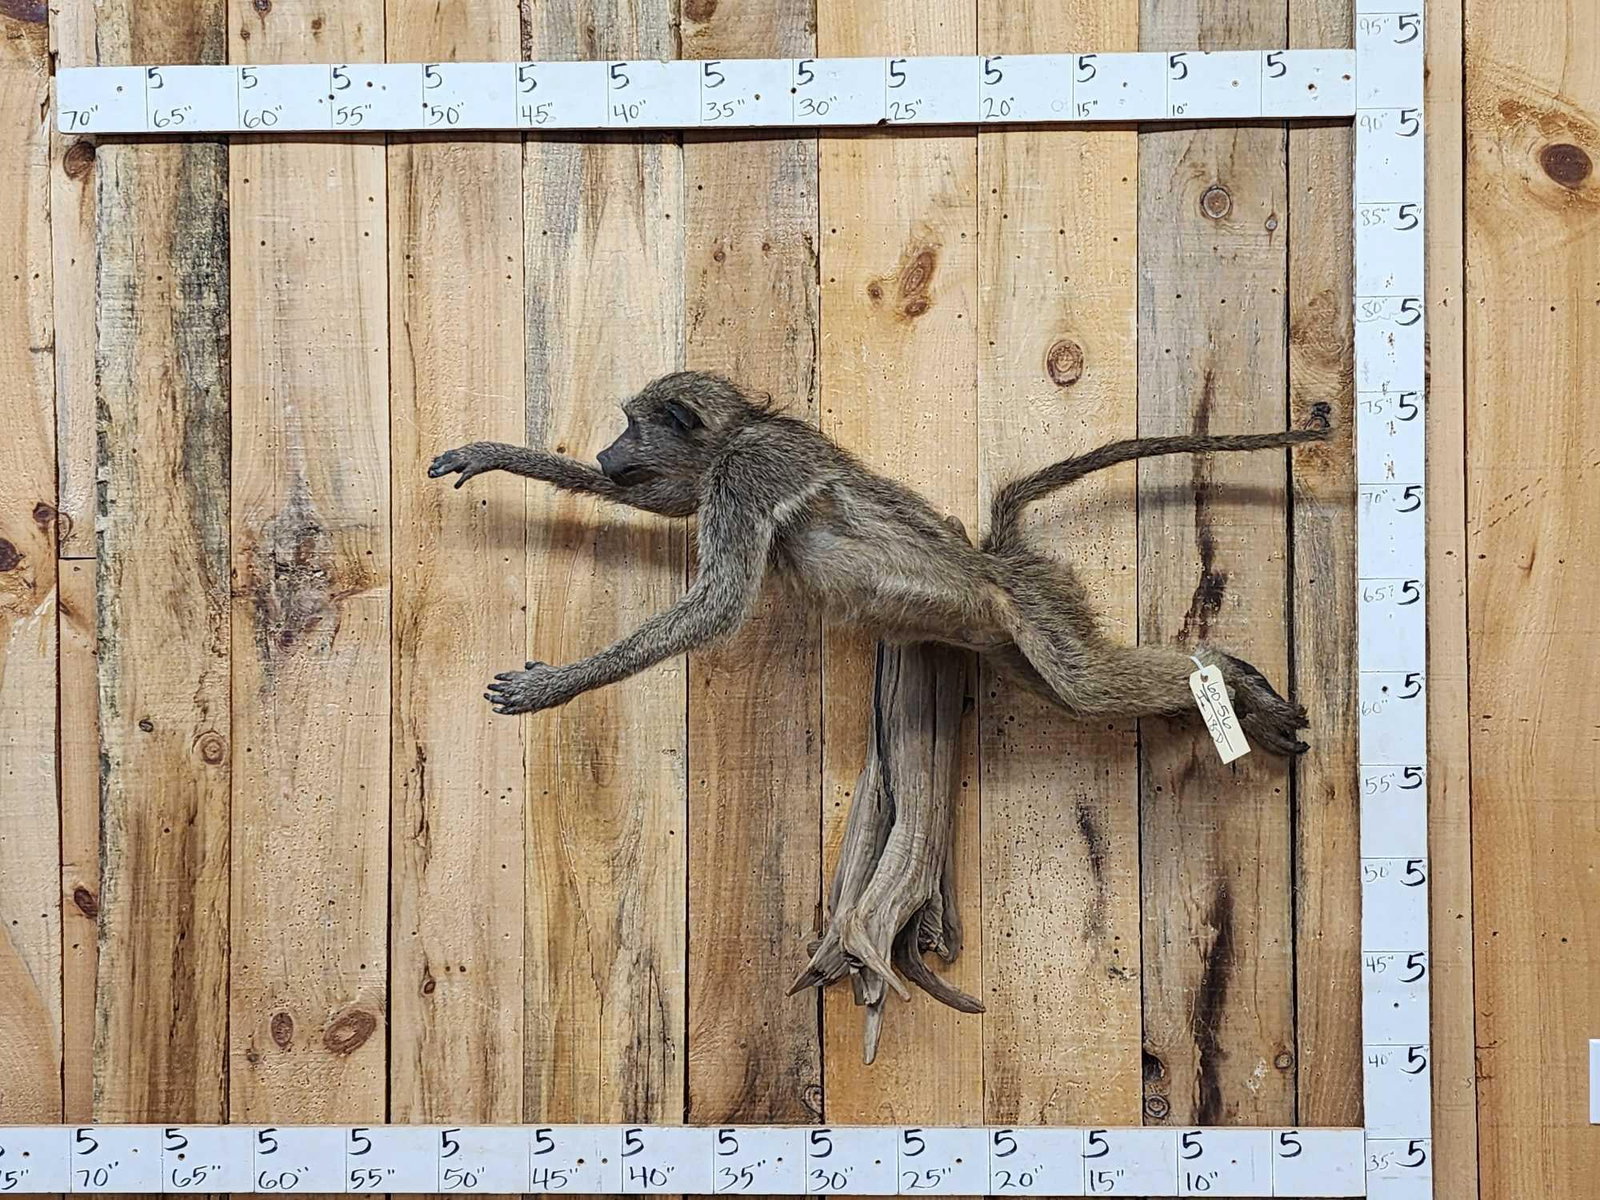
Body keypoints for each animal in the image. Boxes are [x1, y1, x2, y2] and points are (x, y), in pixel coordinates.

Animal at [429, 371, 1328, 755]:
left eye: (630, 426)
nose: (608, 455)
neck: (741, 430)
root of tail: (997, 560)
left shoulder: (746, 473)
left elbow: (717, 604)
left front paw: (553, 687)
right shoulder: (713, 479)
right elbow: (667, 505)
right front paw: (496, 454)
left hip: (1035, 610)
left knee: (1087, 686)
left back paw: (1230, 677)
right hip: (1015, 635)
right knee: (1077, 691)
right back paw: (1234, 697)